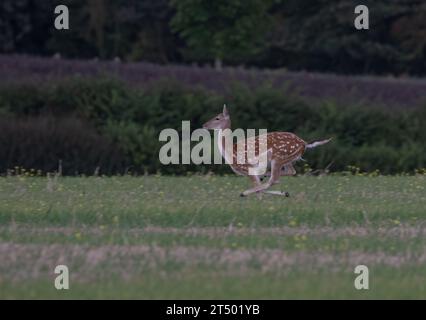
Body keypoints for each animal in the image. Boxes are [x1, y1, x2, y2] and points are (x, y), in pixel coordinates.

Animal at [203, 105, 332, 196]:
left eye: (217, 118)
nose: (204, 125)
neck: (231, 152)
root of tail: (304, 143)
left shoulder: (247, 167)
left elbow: (258, 190)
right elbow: (258, 188)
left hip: (278, 157)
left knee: (274, 180)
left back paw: (245, 192)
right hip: (287, 159)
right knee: (290, 172)